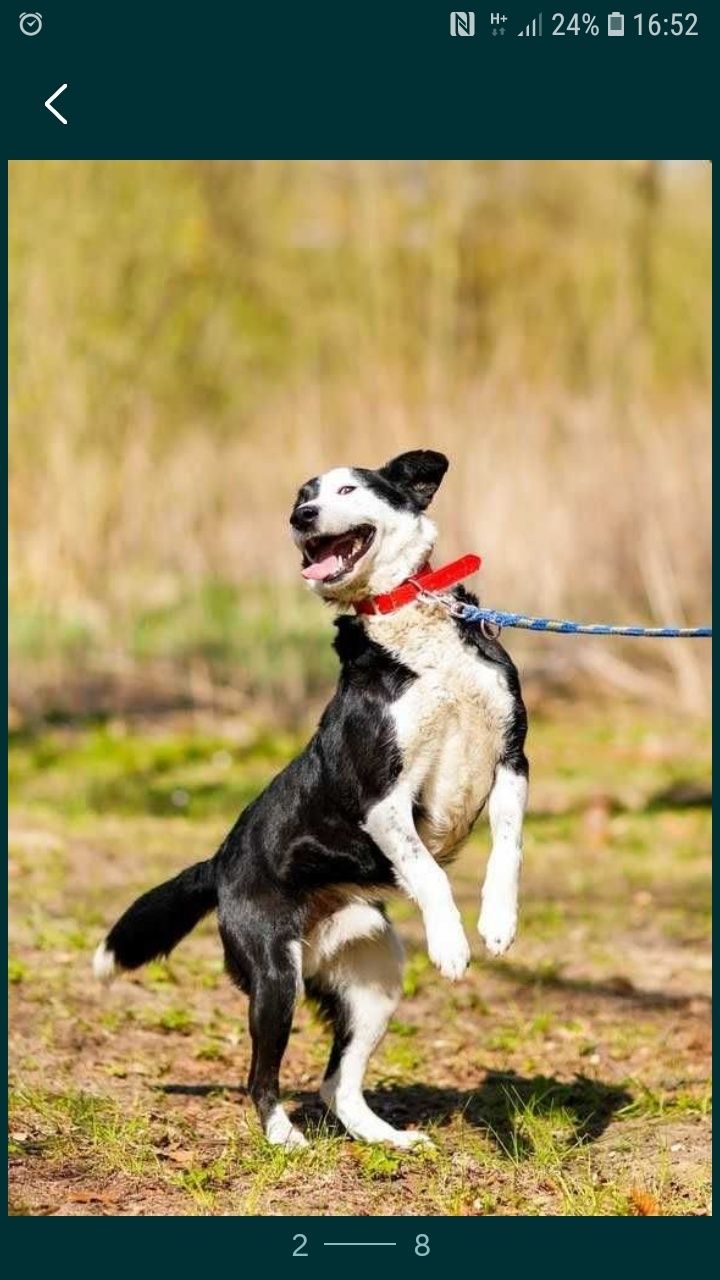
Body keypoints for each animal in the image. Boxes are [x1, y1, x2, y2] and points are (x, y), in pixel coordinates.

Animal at [92, 450, 525, 1152]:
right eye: (303, 496)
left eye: (347, 489)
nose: (302, 517)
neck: (406, 620)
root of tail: (220, 863)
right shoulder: (382, 798)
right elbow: (428, 872)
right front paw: (453, 943)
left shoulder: (512, 761)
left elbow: (507, 848)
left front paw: (497, 923)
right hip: (276, 977)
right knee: (260, 1077)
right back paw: (283, 1139)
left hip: (373, 974)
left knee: (336, 1083)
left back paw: (389, 1139)